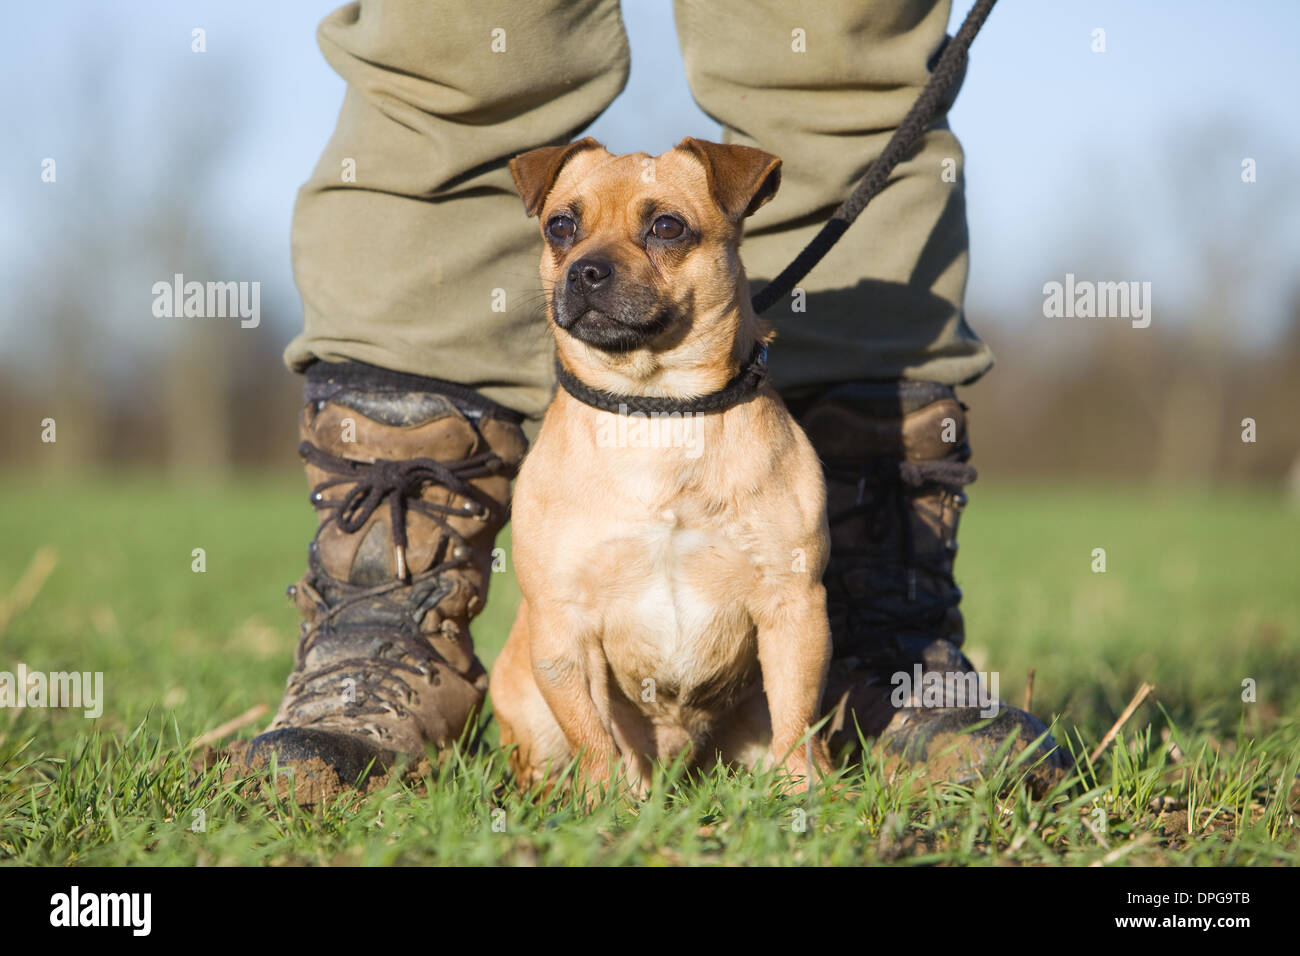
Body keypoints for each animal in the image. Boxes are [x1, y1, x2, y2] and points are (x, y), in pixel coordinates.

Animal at [488, 132, 832, 790]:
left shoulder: (794, 608)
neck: (657, 408)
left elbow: (797, 721)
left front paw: (804, 795)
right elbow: (593, 734)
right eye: (561, 225)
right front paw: (606, 802)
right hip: (532, 714)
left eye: (667, 227)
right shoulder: (562, 626)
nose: (586, 270)